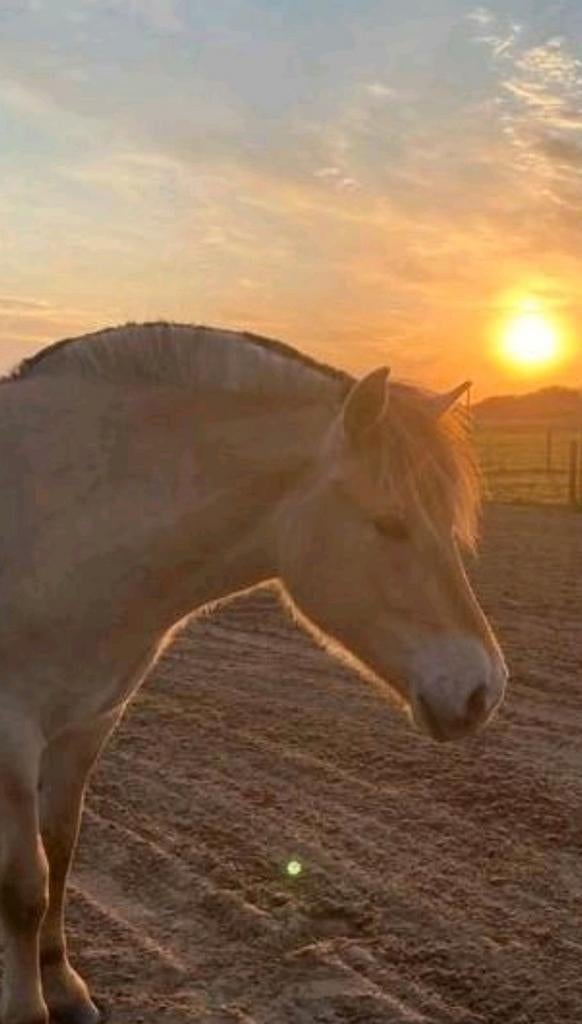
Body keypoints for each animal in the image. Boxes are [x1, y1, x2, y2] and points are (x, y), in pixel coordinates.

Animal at [0, 322, 507, 1024]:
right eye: (390, 522)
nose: (483, 689)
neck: (61, 519)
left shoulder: (88, 723)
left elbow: (62, 849)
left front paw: (64, 986)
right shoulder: (12, 730)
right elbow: (26, 882)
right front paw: (27, 1006)